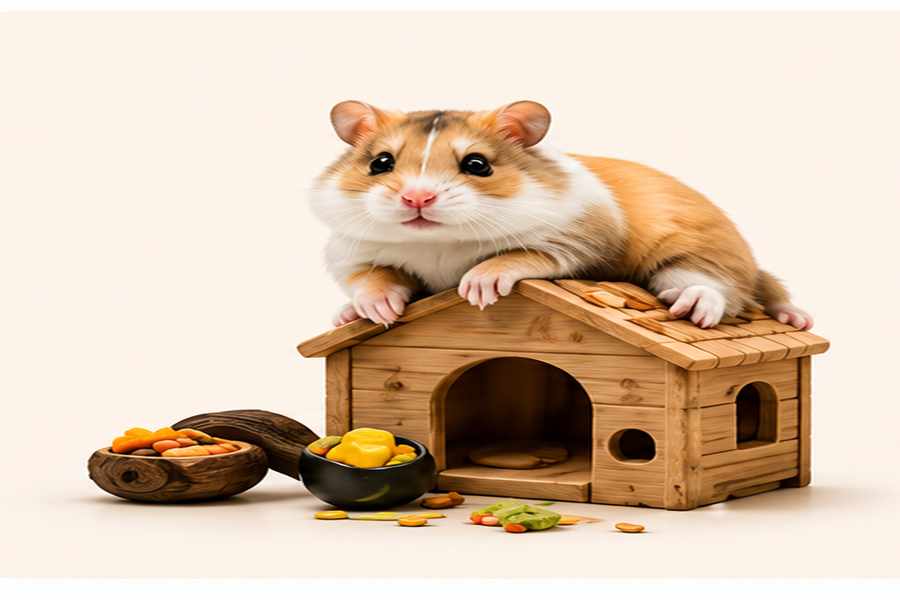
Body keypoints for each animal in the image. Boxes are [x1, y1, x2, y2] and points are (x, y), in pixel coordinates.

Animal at [308, 100, 813, 331]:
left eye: (477, 164)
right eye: (380, 163)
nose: (417, 199)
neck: (439, 242)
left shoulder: (580, 240)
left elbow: (521, 256)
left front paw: (478, 288)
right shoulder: (348, 251)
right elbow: (371, 276)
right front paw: (377, 310)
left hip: (700, 251)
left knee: (720, 286)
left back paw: (696, 305)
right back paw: (343, 315)